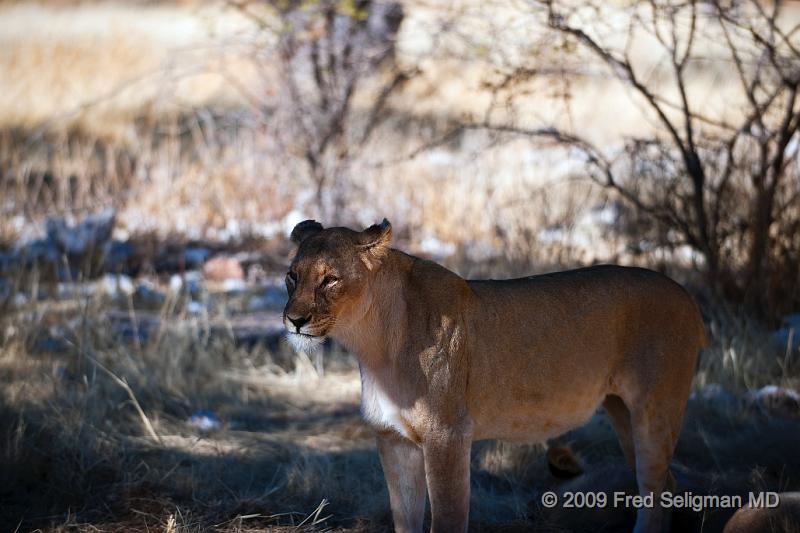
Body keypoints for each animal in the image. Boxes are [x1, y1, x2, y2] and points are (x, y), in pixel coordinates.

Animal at [282, 218, 708, 528]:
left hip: (657, 409)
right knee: (663, 487)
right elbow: (406, 521)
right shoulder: (394, 439)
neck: (373, 345)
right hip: (621, 410)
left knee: (655, 491)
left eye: (330, 279)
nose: (294, 320)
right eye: (292, 276)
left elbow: (448, 519)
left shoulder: (447, 435)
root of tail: (687, 296)